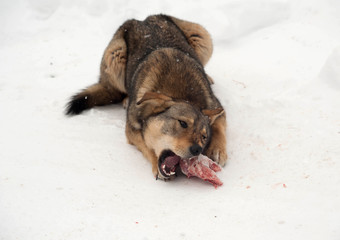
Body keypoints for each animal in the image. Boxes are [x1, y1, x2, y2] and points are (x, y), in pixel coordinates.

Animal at [65, 14, 227, 180]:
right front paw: (156, 163)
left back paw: (209, 77)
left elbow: (219, 127)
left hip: (202, 36)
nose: (197, 150)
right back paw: (126, 98)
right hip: (115, 55)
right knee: (117, 90)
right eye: (182, 123)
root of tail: (143, 19)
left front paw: (217, 150)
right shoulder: (131, 129)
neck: (180, 93)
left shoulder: (216, 106)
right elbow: (146, 144)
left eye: (204, 137)